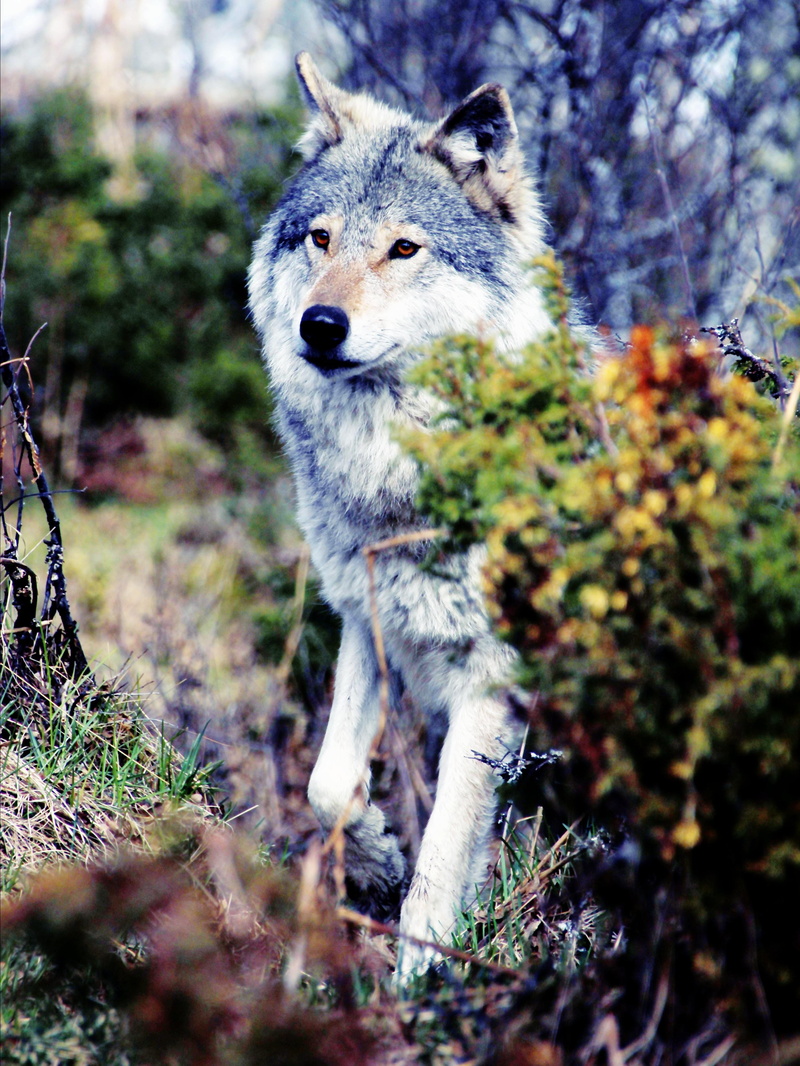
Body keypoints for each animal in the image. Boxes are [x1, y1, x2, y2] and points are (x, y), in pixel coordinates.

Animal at [248, 53, 553, 975]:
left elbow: (445, 853)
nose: (319, 324)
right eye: (320, 238)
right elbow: (327, 784)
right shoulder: (367, 623)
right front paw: (376, 854)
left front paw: (422, 982)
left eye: (403, 248)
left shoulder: (493, 680)